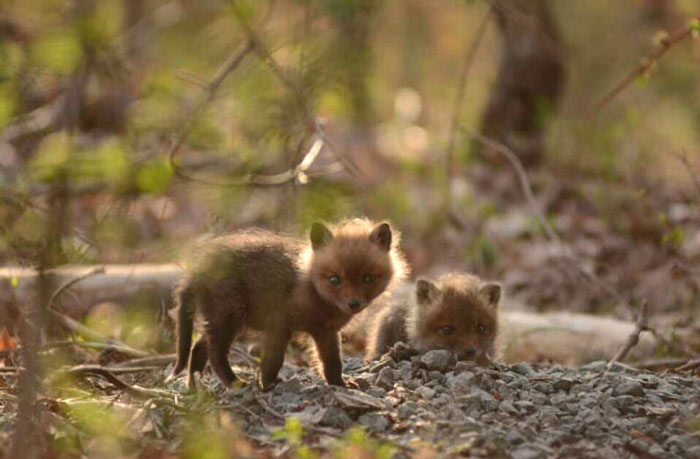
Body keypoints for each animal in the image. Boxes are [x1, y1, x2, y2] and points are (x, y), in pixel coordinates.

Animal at [170, 219, 407, 390]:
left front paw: (339, 384)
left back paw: (193, 388)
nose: (353, 304)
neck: (312, 289)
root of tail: (197, 270)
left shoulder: (325, 331)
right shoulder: (280, 325)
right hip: (230, 318)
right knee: (215, 353)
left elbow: (332, 361)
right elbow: (273, 359)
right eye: (334, 279)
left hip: (226, 321)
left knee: (198, 347)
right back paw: (234, 383)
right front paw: (267, 384)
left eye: (368, 278)